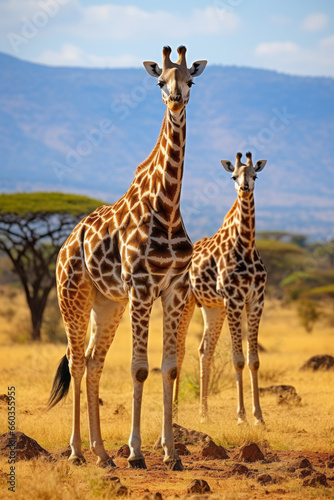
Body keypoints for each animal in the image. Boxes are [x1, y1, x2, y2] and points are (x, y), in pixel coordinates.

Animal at [48, 45, 206, 470]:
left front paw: (172, 453)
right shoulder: (142, 288)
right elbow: (139, 370)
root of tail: (67, 243)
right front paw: (136, 453)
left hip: (108, 303)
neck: (167, 207)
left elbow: (169, 368)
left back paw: (102, 453)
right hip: (73, 295)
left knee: (94, 362)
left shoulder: (174, 290)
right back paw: (76, 452)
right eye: (159, 81)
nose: (176, 100)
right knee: (76, 360)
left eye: (191, 80)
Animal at [174, 153, 268, 426]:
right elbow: (238, 360)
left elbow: (254, 360)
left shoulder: (256, 299)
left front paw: (259, 417)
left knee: (204, 351)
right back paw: (174, 412)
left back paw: (203, 414)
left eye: (255, 175)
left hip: (212, 307)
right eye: (233, 176)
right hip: (186, 303)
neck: (246, 246)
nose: (244, 188)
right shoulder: (234, 300)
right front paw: (241, 416)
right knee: (179, 350)